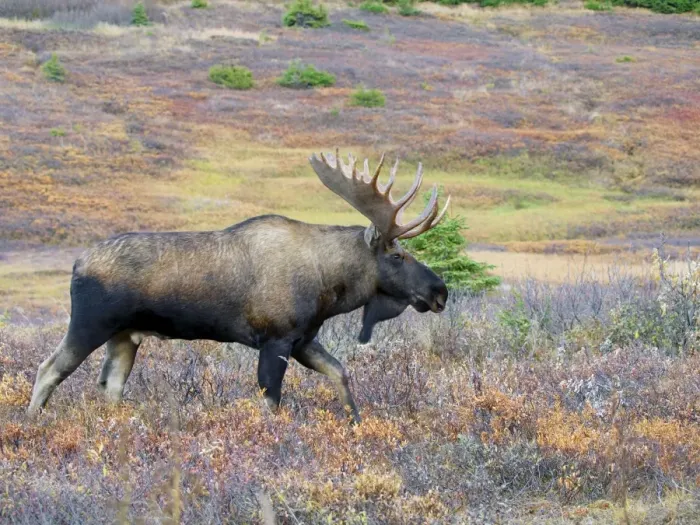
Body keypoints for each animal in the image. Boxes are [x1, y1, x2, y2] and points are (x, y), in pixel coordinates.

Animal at [28, 150, 450, 424]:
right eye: (397, 255)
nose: (440, 291)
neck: (330, 288)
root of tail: (76, 265)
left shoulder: (303, 340)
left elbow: (340, 373)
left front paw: (356, 422)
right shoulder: (276, 338)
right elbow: (271, 402)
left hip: (125, 336)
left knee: (110, 386)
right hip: (90, 323)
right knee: (48, 368)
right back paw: (31, 423)